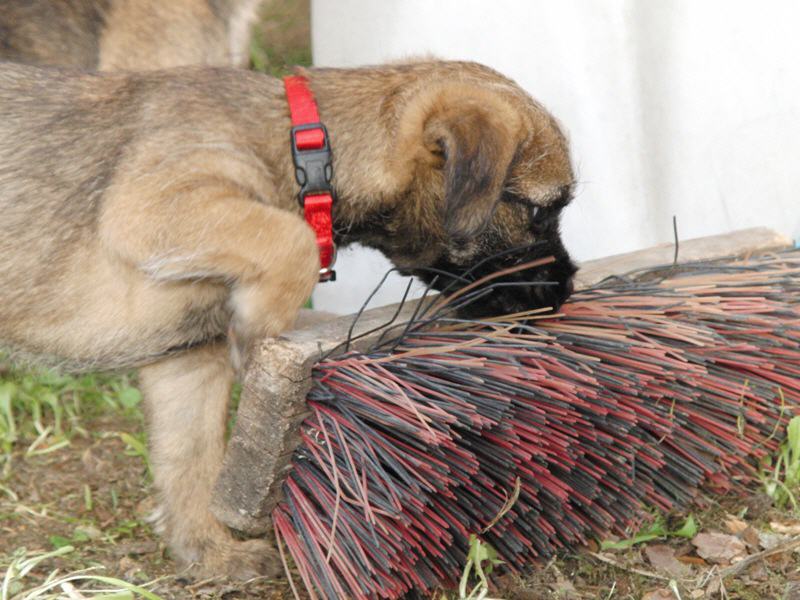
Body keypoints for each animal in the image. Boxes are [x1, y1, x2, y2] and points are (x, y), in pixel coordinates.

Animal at [0, 59, 576, 576]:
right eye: (539, 211)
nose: (566, 290)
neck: (303, 146)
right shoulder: (147, 204)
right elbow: (290, 237)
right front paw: (262, 330)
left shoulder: (188, 363)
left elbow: (190, 460)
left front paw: (210, 552)